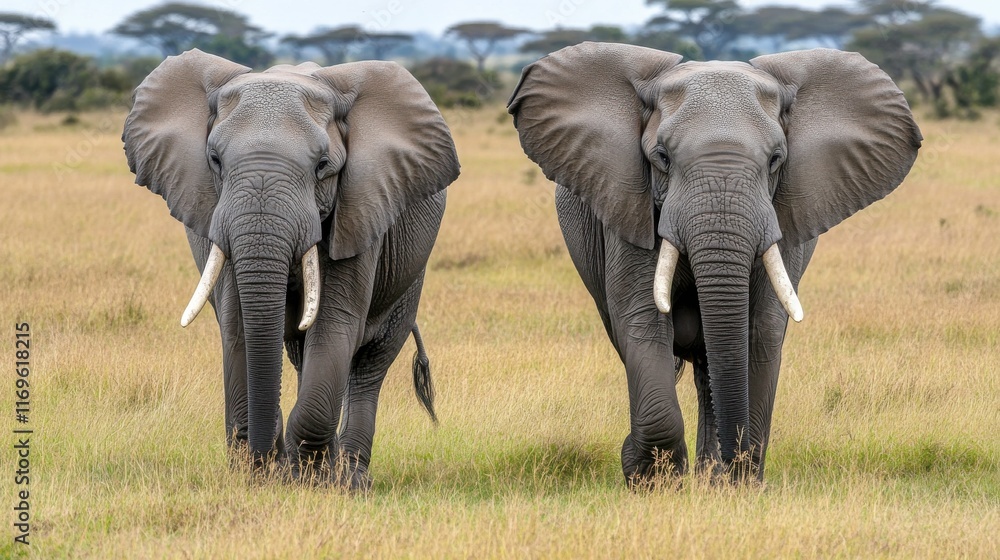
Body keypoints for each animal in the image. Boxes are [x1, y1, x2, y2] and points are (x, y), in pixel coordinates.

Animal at [122, 49, 460, 488]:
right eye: (214, 160)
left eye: (322, 166)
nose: (265, 463)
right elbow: (238, 323)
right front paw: (265, 475)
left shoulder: (359, 208)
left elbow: (335, 321)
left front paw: (312, 482)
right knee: (303, 355)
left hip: (410, 274)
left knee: (371, 362)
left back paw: (352, 480)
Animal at [508, 43, 921, 484]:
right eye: (662, 158)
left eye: (776, 160)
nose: (734, 462)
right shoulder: (629, 212)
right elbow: (642, 320)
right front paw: (651, 481)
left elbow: (761, 329)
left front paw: (734, 485)